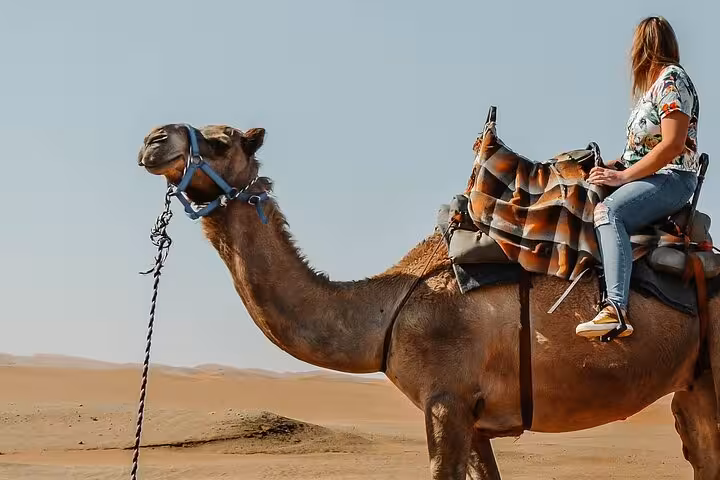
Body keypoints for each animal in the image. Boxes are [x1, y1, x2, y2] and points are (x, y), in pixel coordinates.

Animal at [137, 123, 720, 479]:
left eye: (221, 141)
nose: (152, 139)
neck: (386, 310)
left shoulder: (446, 402)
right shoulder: (473, 417)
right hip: (692, 385)